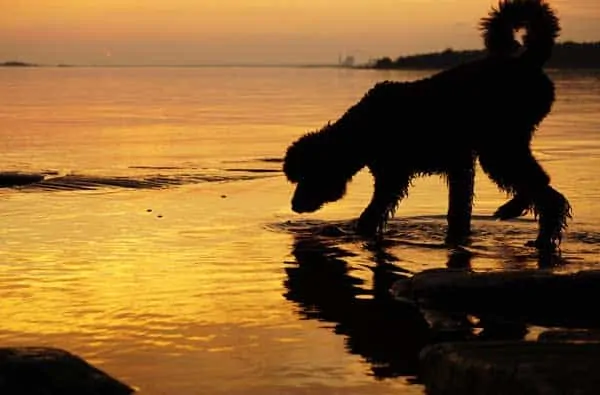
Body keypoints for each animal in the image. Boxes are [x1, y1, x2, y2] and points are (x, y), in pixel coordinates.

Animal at [284, 0, 568, 251]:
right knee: (539, 183)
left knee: (543, 189)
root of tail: (527, 61)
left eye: (307, 175)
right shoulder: (456, 164)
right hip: (506, 144)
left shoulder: (394, 175)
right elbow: (458, 209)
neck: (363, 129)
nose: (294, 205)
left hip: (499, 145)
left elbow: (374, 212)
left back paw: (532, 226)